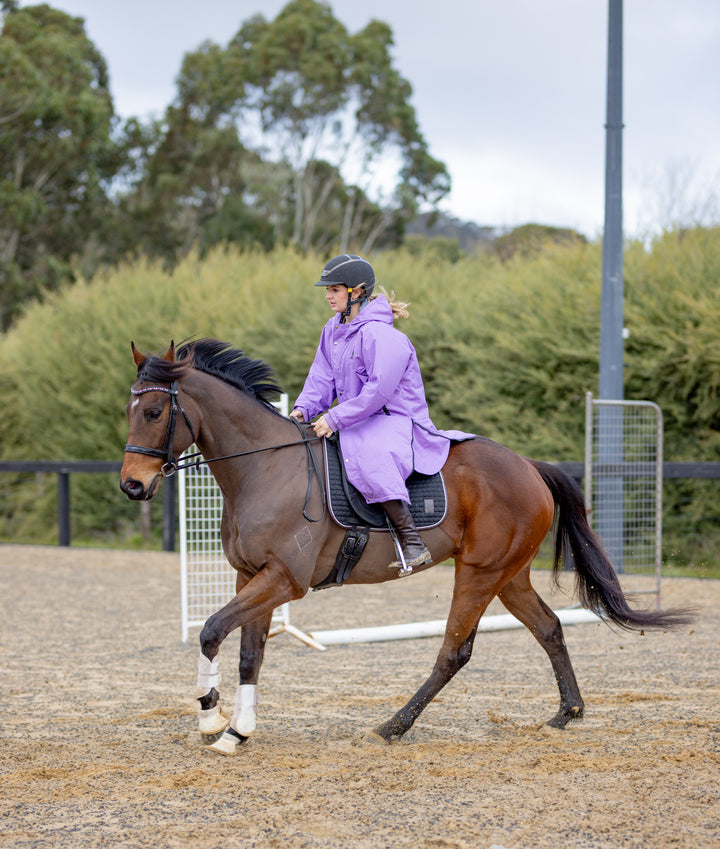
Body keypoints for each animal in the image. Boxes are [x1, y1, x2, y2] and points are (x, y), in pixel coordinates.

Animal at [121, 338, 696, 756]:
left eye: (153, 412)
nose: (131, 486)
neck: (265, 466)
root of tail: (528, 466)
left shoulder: (284, 580)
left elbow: (212, 630)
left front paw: (209, 718)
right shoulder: (252, 577)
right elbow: (248, 654)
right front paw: (236, 731)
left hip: (479, 573)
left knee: (454, 651)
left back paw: (393, 727)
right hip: (509, 576)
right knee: (550, 628)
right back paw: (567, 713)